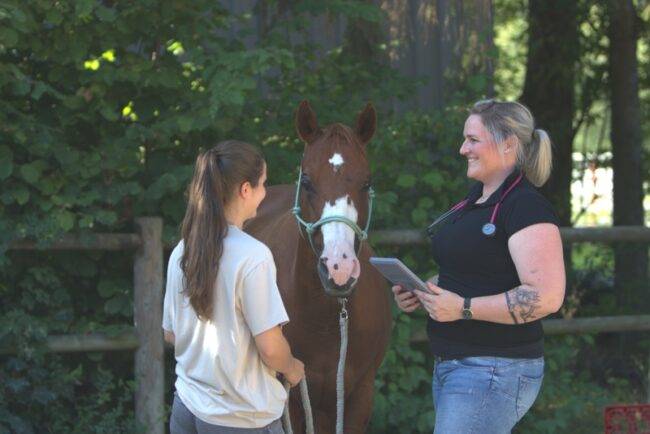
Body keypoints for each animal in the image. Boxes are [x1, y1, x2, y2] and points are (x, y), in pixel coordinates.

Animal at [244, 100, 390, 432]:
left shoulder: (359, 397)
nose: (339, 269)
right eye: (308, 181)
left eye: (367, 182)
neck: (324, 321)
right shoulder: (294, 399)